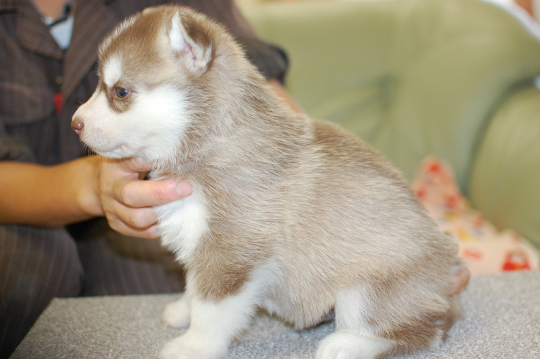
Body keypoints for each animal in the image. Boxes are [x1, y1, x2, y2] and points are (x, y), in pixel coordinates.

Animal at [70, 5, 460, 359]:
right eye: (99, 85)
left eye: (120, 92)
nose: (75, 122)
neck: (211, 142)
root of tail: (449, 266)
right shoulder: (200, 240)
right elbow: (195, 286)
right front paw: (184, 309)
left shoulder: (232, 251)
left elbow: (212, 308)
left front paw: (194, 345)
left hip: (367, 289)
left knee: (428, 329)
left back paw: (348, 344)